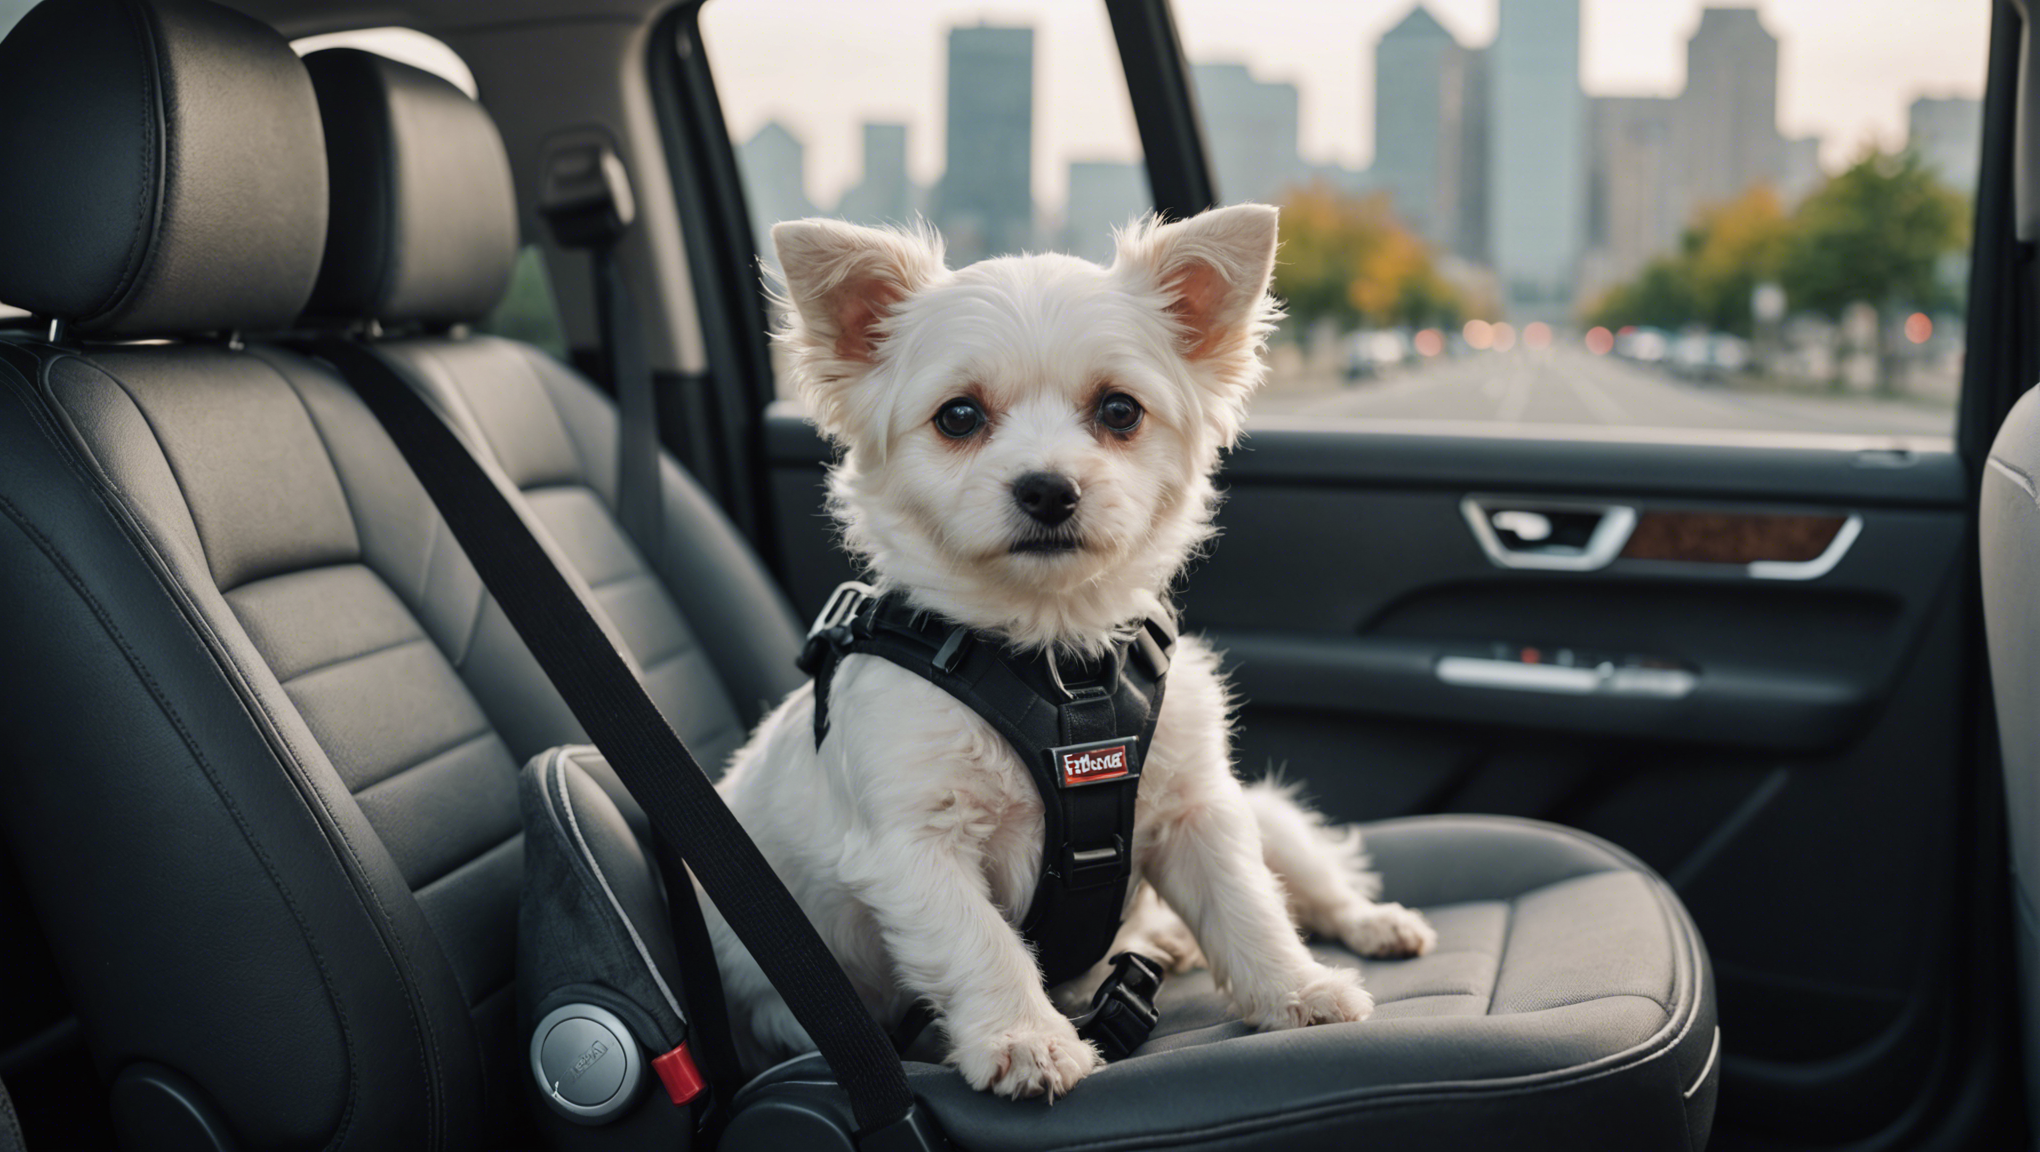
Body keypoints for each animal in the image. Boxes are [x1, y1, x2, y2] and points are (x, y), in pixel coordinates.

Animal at [701, 203, 1436, 1092]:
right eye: (958, 417)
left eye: (1120, 411)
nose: (1047, 488)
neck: (1057, 666)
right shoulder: (914, 850)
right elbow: (981, 944)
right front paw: (1025, 1038)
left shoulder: (1199, 811)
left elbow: (1247, 904)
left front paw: (1293, 990)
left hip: (1262, 813)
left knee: (1315, 882)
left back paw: (1365, 926)